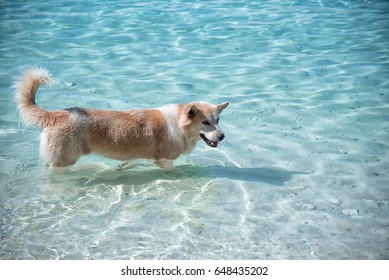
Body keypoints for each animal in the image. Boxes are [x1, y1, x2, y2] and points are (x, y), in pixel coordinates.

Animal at [13, 67, 229, 171]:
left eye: (218, 120)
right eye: (205, 122)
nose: (222, 137)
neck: (177, 124)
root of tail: (56, 114)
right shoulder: (163, 159)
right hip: (64, 161)